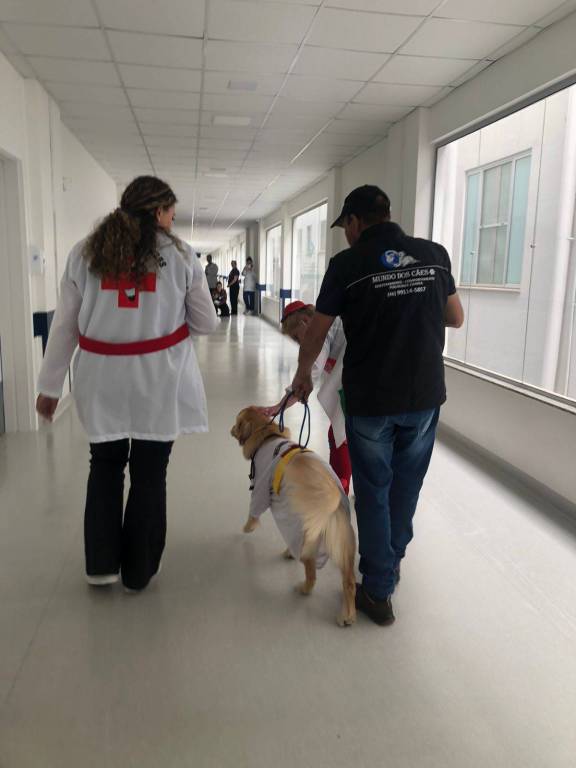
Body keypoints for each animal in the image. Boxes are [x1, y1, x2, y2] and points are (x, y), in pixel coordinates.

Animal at [230, 406, 356, 627]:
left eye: (237, 423)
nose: (230, 429)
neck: (267, 435)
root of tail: (333, 493)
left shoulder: (259, 486)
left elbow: (254, 509)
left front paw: (248, 527)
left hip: (303, 533)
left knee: (311, 573)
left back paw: (303, 587)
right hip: (342, 540)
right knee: (349, 582)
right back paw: (347, 615)